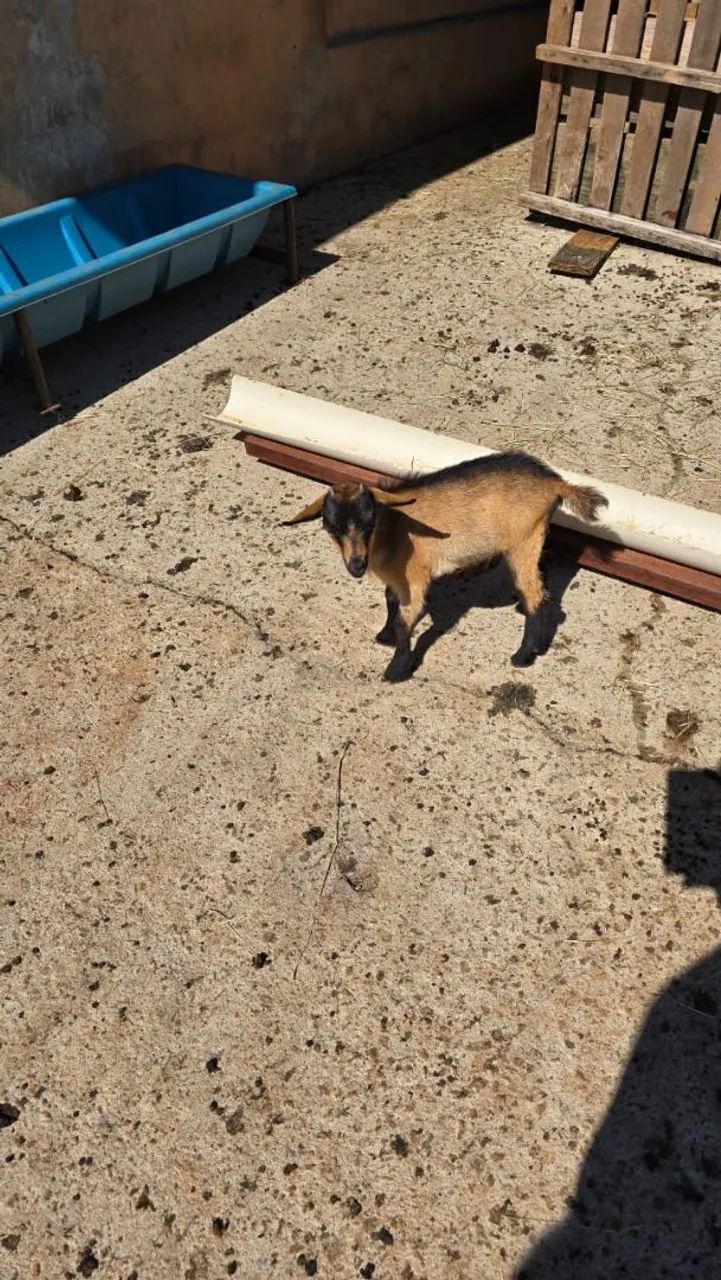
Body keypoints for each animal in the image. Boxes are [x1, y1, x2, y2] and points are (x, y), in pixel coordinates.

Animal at [282, 452, 607, 682]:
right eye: (330, 526)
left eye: (369, 521)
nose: (356, 565)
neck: (390, 531)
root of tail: (554, 482)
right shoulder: (397, 580)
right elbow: (390, 600)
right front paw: (384, 637)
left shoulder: (415, 578)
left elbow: (406, 619)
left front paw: (397, 670)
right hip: (533, 539)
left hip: (523, 540)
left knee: (535, 594)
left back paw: (524, 656)